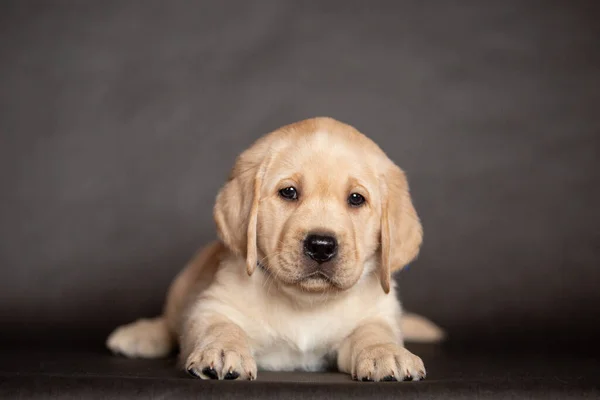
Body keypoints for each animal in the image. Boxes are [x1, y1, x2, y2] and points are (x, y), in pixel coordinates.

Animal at [106, 118, 446, 382]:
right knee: (169, 322)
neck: (305, 303)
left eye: (356, 199)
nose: (321, 245)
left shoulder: (378, 313)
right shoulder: (213, 304)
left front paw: (387, 353)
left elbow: (373, 331)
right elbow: (218, 325)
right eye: (289, 192)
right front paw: (221, 350)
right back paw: (141, 335)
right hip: (184, 284)